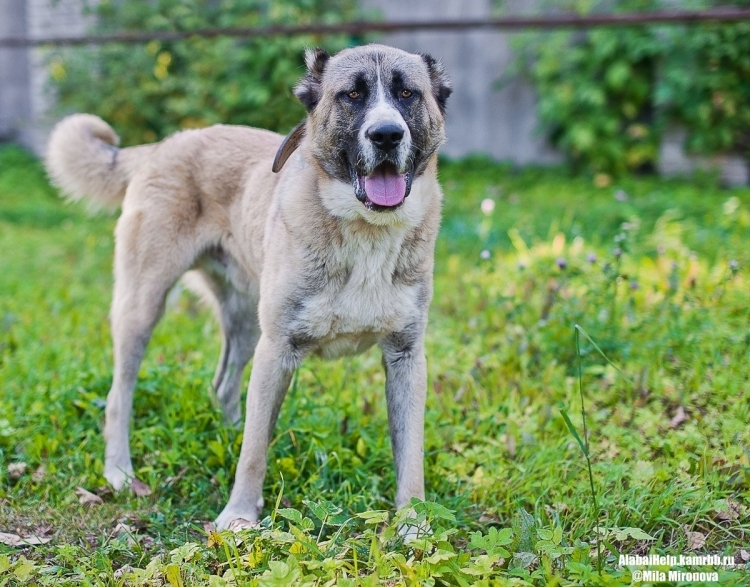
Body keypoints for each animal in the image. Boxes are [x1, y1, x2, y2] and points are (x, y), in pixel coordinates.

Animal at [45, 42, 452, 528]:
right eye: (351, 95)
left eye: (407, 93)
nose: (387, 135)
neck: (365, 230)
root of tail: (164, 145)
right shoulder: (277, 348)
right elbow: (255, 452)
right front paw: (239, 517)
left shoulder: (406, 356)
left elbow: (411, 455)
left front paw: (414, 526)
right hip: (143, 308)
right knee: (118, 395)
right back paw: (120, 472)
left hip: (244, 323)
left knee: (225, 387)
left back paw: (226, 435)